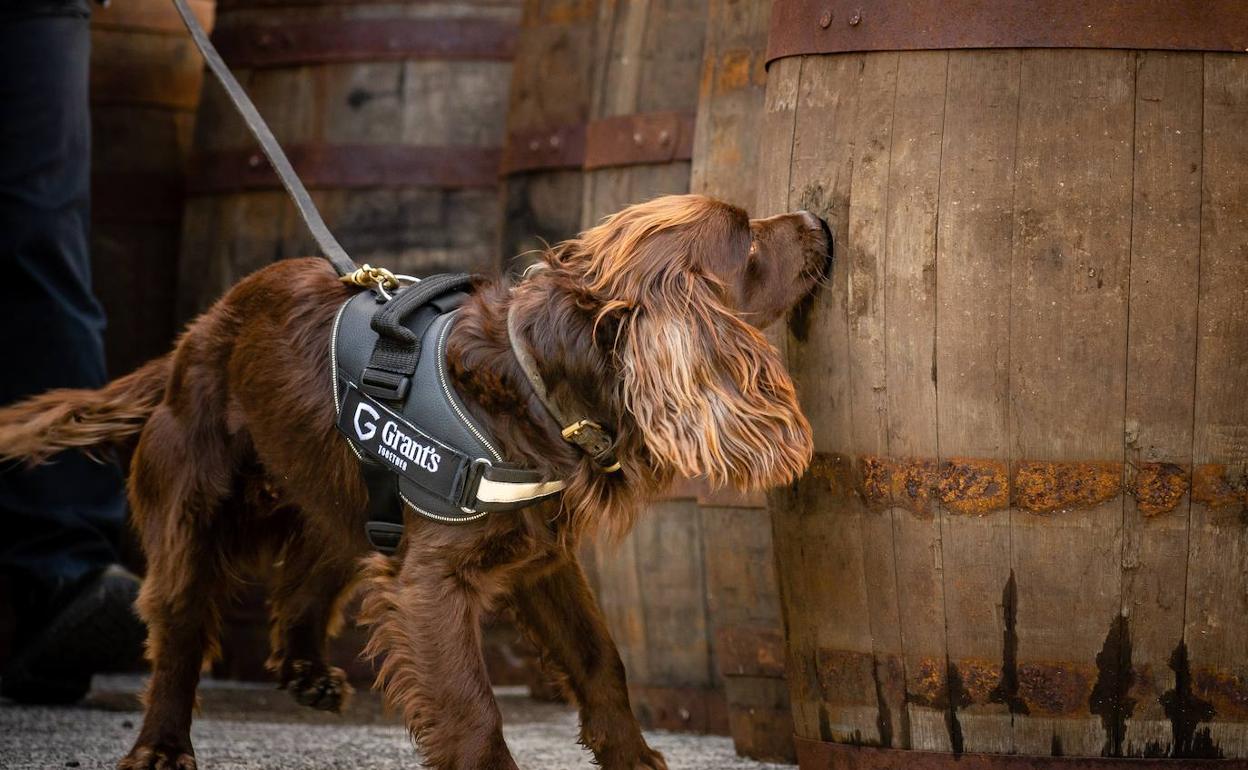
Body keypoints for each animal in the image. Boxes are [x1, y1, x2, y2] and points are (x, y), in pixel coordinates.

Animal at [0, 193, 828, 768]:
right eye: (750, 240)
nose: (820, 220)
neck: (530, 381)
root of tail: (196, 334)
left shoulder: (540, 557)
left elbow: (601, 662)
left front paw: (632, 758)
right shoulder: (435, 580)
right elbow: (472, 710)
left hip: (345, 487)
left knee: (316, 562)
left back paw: (303, 668)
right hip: (194, 509)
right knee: (179, 627)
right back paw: (163, 743)